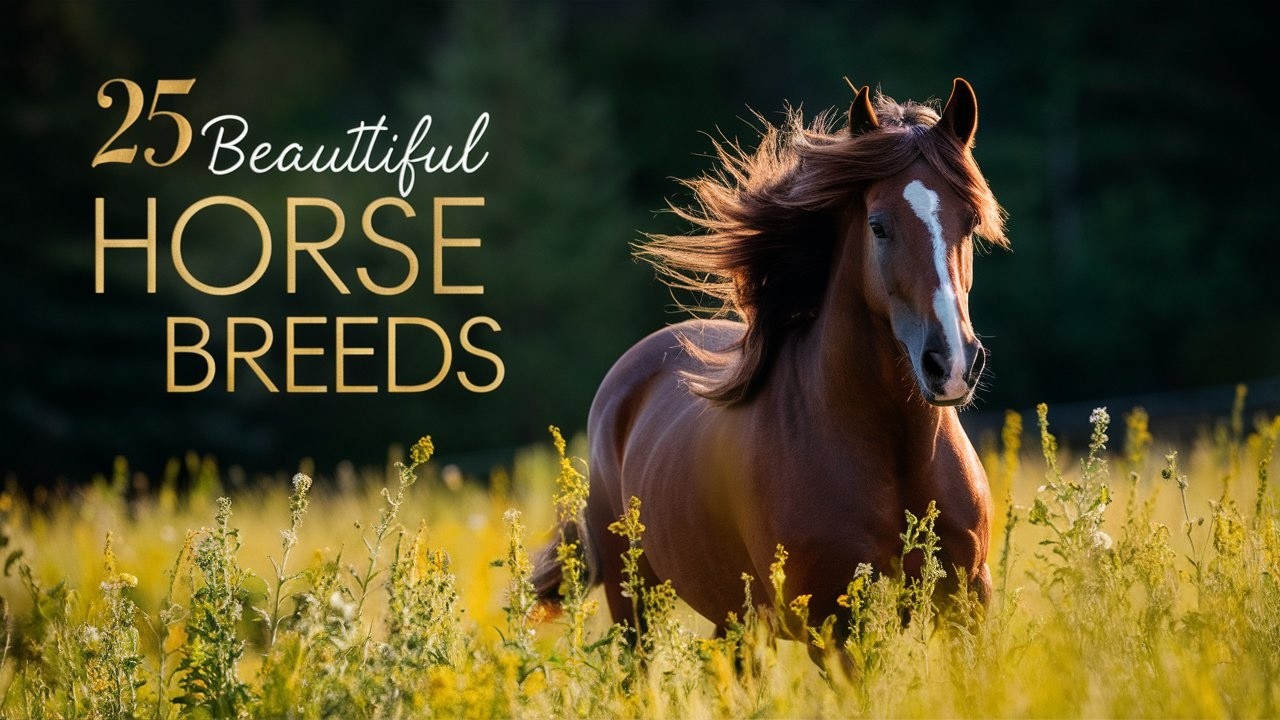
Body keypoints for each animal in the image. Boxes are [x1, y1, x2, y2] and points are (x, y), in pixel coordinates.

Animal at [533, 78, 1008, 645]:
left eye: (971, 222)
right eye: (878, 226)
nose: (952, 364)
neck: (894, 449)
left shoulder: (967, 603)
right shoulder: (832, 626)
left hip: (739, 618)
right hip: (636, 605)